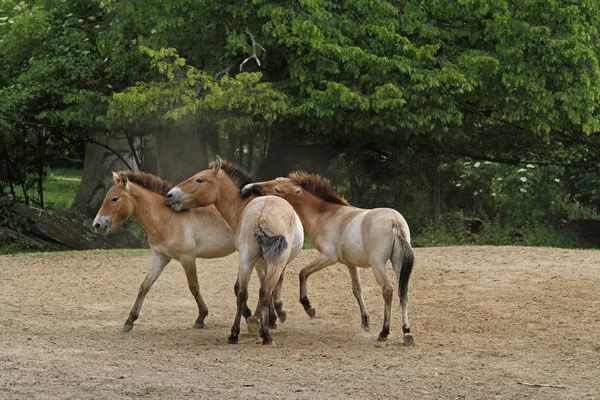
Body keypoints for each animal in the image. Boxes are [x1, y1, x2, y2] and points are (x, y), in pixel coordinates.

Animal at [92, 171, 246, 332]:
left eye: (115, 199)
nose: (97, 225)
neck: (167, 219)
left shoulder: (187, 258)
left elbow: (194, 287)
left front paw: (201, 317)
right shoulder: (160, 258)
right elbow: (144, 286)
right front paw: (129, 320)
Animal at [164, 156, 304, 344]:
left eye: (199, 179)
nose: (170, 195)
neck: (242, 206)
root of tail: (262, 215)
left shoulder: (253, 261)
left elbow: (242, 289)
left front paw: (260, 318)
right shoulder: (266, 264)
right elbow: (270, 287)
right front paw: (269, 318)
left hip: (247, 259)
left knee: (243, 292)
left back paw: (234, 334)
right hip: (272, 261)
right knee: (264, 291)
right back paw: (265, 335)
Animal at [241, 173, 414, 346]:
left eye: (277, 189)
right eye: (277, 179)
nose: (250, 188)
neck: (326, 215)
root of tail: (395, 221)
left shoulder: (328, 257)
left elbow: (303, 273)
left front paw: (309, 307)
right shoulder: (351, 264)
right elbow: (357, 290)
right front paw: (365, 322)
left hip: (378, 265)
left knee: (388, 291)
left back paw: (384, 332)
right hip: (398, 264)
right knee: (403, 293)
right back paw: (407, 332)